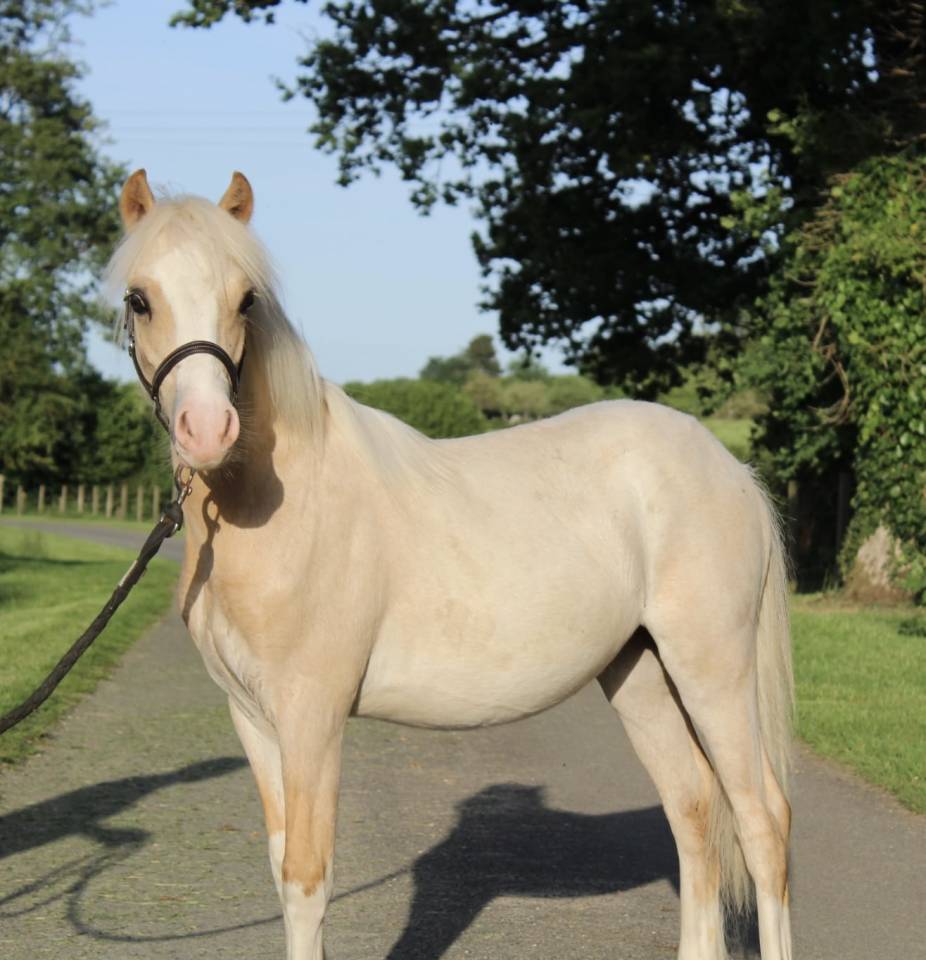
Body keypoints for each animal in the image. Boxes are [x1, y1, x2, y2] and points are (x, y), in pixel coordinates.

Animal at [106, 169, 794, 960]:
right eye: (140, 298)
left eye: (246, 298)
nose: (208, 430)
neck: (282, 507)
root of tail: (731, 469)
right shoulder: (252, 718)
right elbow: (281, 870)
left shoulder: (313, 717)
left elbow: (308, 876)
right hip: (640, 671)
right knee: (693, 806)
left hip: (713, 670)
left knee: (762, 821)